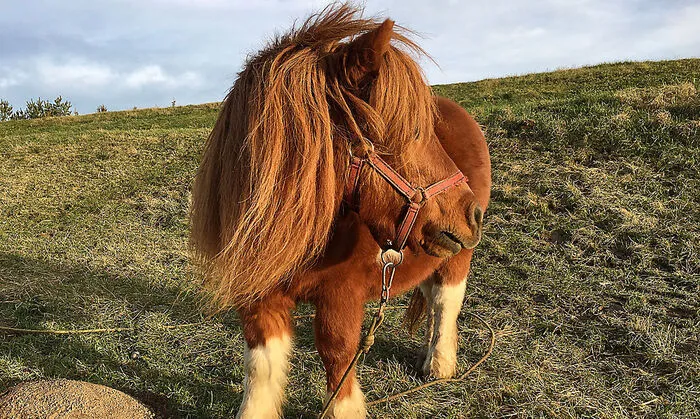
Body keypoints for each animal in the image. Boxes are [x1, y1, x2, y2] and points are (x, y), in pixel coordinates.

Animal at [189, 5, 491, 418]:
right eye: (414, 132)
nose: (471, 214)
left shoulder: (341, 295)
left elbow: (337, 354)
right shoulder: (257, 299)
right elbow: (262, 367)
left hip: (457, 257)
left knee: (446, 301)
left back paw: (440, 364)